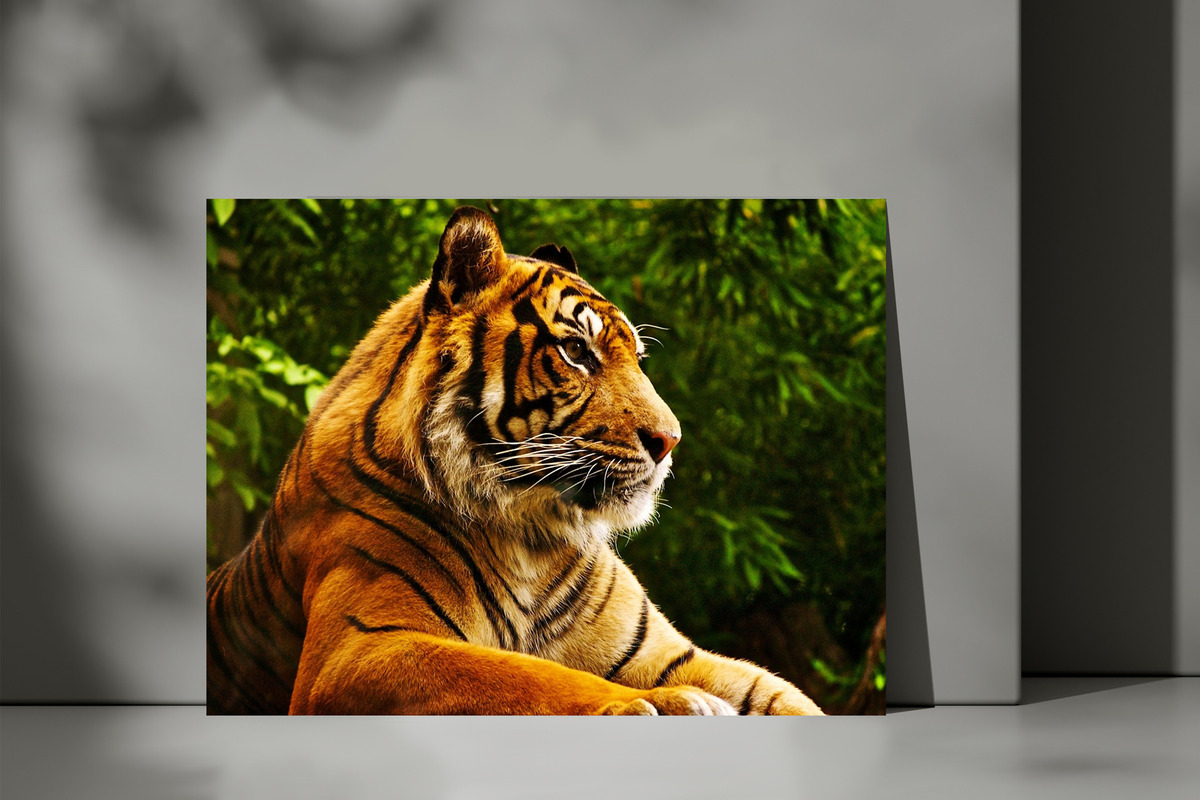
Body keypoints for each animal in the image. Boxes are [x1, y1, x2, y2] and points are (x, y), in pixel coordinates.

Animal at [206, 206, 825, 716]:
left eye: (637, 357)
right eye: (576, 351)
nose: (669, 440)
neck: (531, 535)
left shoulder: (669, 653)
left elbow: (785, 696)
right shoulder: (357, 648)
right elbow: (526, 675)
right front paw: (661, 704)